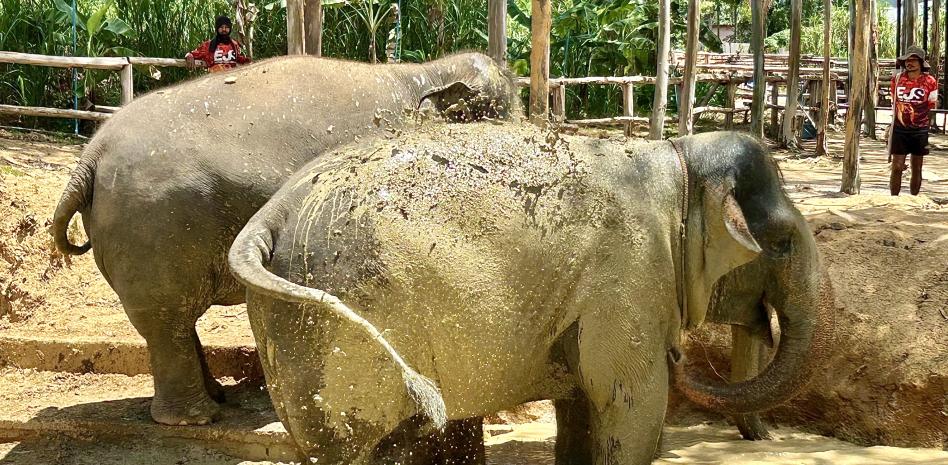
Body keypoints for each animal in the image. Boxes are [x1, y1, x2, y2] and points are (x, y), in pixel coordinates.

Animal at [50, 52, 518, 427]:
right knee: (168, 320)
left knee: (172, 323)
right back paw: (197, 419)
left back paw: (217, 398)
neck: (425, 72)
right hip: (153, 226)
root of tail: (90, 157)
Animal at [227, 123, 836, 465]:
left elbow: (582, 404)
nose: (681, 355)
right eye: (781, 243)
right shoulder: (631, 275)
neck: (677, 157)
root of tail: (268, 218)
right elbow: (629, 401)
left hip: (290, 328)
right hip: (342, 326)